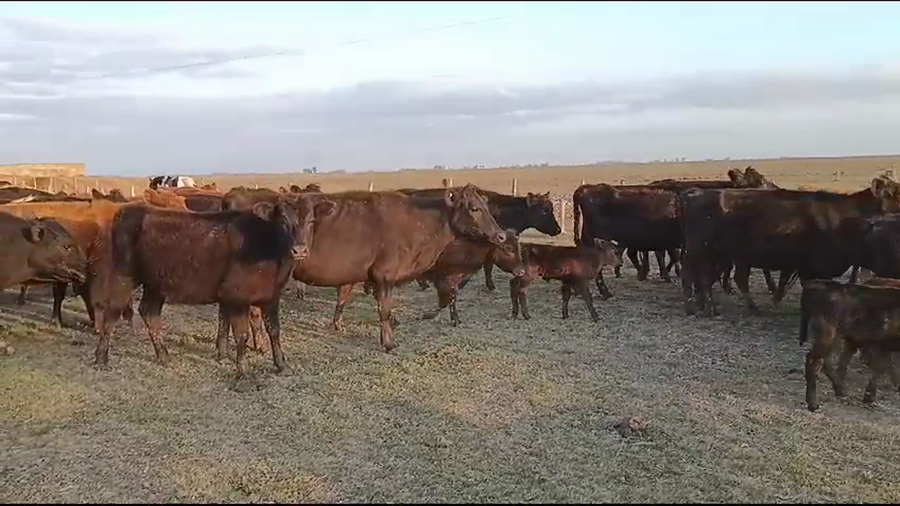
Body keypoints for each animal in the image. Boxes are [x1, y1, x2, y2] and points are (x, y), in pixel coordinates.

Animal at [90, 193, 329, 379]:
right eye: (283, 221)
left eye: (310, 220)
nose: (299, 249)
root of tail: (128, 210)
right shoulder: (237, 296)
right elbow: (241, 334)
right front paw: (243, 370)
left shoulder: (271, 296)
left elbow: (274, 331)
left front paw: (281, 365)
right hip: (124, 277)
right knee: (112, 313)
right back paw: (101, 358)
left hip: (156, 283)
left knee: (149, 312)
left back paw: (164, 356)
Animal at [294, 185, 508, 352]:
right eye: (474, 208)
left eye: (486, 206)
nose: (501, 235)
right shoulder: (385, 275)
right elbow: (384, 309)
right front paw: (388, 343)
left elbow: (344, 299)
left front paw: (339, 324)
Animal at [680, 175, 900, 317]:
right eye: (893, 192)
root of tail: (695, 193)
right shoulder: (809, 266)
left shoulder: (797, 264)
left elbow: (785, 282)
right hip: (702, 251)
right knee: (696, 275)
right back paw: (704, 307)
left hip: (722, 255)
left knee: (717, 278)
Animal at [800, 279, 900, 411]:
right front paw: (870, 397)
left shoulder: (881, 345)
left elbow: (882, 366)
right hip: (827, 335)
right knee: (813, 362)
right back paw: (813, 404)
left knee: (825, 361)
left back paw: (840, 391)